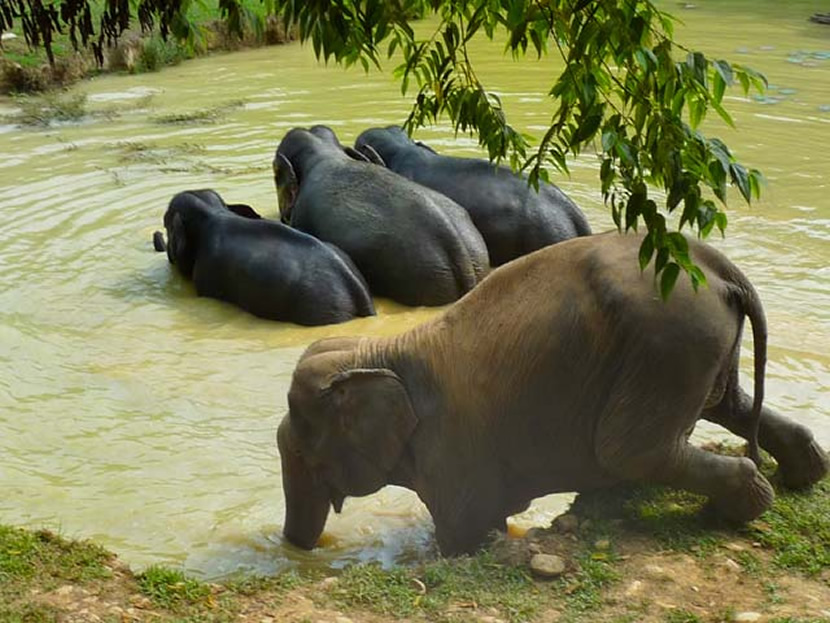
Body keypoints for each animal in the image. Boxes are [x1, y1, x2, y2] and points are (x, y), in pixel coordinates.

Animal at [277, 231, 829, 556]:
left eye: (303, 452)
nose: (299, 550)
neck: (381, 350)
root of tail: (720, 268)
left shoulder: (450, 449)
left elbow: (465, 530)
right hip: (696, 347)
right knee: (727, 405)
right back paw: (802, 475)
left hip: (668, 345)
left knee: (626, 449)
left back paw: (739, 507)